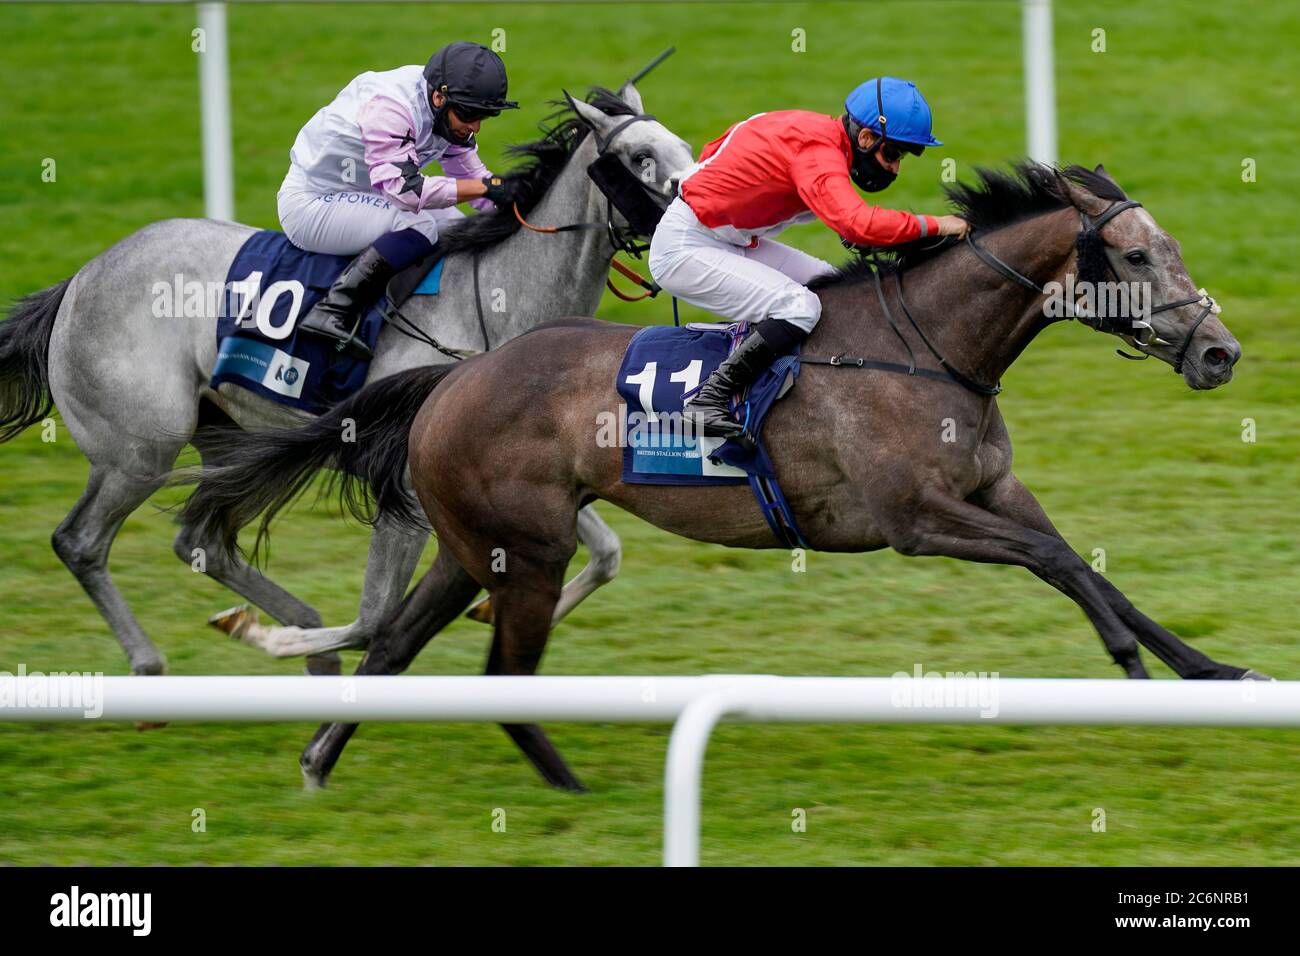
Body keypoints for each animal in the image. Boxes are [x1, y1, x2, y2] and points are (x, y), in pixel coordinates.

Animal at [0, 85, 702, 676]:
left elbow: (607, 553)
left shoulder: (520, 469)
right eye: (640, 156)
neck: (495, 299)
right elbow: (377, 616)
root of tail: (80, 278)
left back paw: (301, 637)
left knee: (201, 539)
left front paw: (493, 610)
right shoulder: (410, 489)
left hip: (230, 438)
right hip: (139, 450)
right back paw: (152, 666)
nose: (700, 208)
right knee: (81, 542)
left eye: (687, 148)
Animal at [178, 166, 1263, 790]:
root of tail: (455, 375)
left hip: (480, 545)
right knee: (498, 675)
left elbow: (1081, 560)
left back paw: (321, 758)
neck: (926, 348)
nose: (1220, 353)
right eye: (1133, 254)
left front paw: (1212, 670)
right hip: (530, 548)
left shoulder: (990, 492)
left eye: (1165, 247)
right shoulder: (916, 517)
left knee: (398, 645)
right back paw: (566, 783)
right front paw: (1126, 659)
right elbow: (1057, 561)